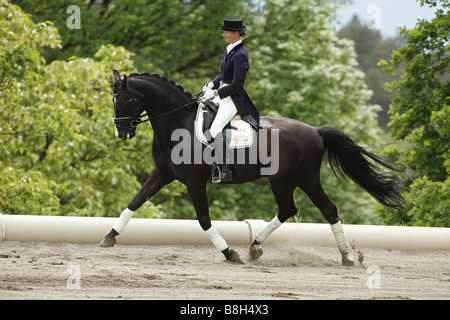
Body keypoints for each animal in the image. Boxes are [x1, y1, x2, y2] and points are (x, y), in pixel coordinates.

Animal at [100, 70, 406, 264]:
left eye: (123, 100)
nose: (121, 133)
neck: (178, 124)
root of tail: (315, 130)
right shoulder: (163, 174)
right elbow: (134, 203)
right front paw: (108, 237)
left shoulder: (194, 182)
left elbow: (204, 220)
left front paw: (229, 254)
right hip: (303, 179)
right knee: (321, 209)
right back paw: (339, 255)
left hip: (286, 180)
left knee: (296, 209)